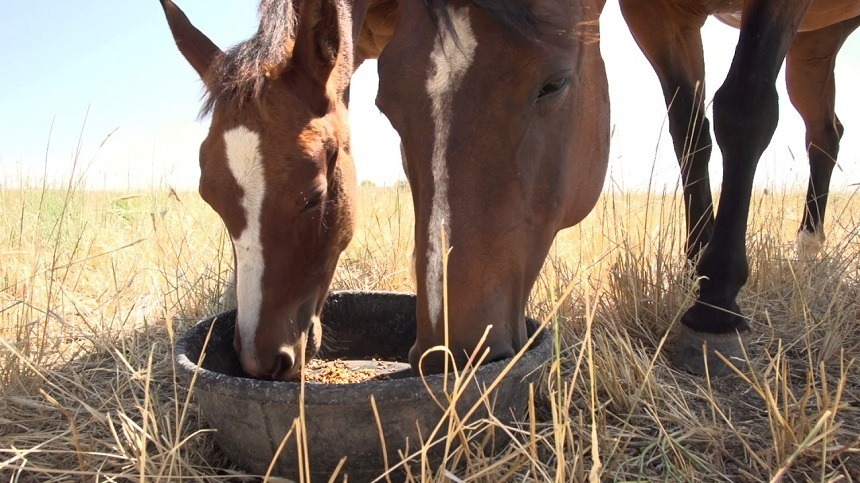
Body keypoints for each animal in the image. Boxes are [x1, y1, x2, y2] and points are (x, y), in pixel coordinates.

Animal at [620, 0, 860, 376]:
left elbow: (745, 106)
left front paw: (716, 304)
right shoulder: (654, 14)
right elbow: (689, 131)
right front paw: (696, 264)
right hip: (817, 40)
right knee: (825, 134)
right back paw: (808, 249)